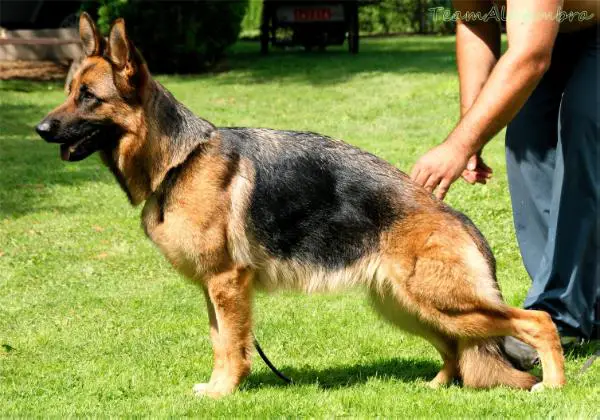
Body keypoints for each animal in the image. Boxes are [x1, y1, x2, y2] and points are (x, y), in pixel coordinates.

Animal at [36, 13, 565, 398]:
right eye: (67, 93)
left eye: (88, 97)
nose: (40, 129)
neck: (180, 160)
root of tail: (458, 219)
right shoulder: (213, 289)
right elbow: (219, 341)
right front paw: (218, 387)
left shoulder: (227, 284)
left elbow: (231, 346)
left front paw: (223, 393)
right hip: (407, 305)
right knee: (455, 347)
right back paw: (436, 387)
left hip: (443, 302)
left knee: (537, 322)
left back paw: (552, 386)